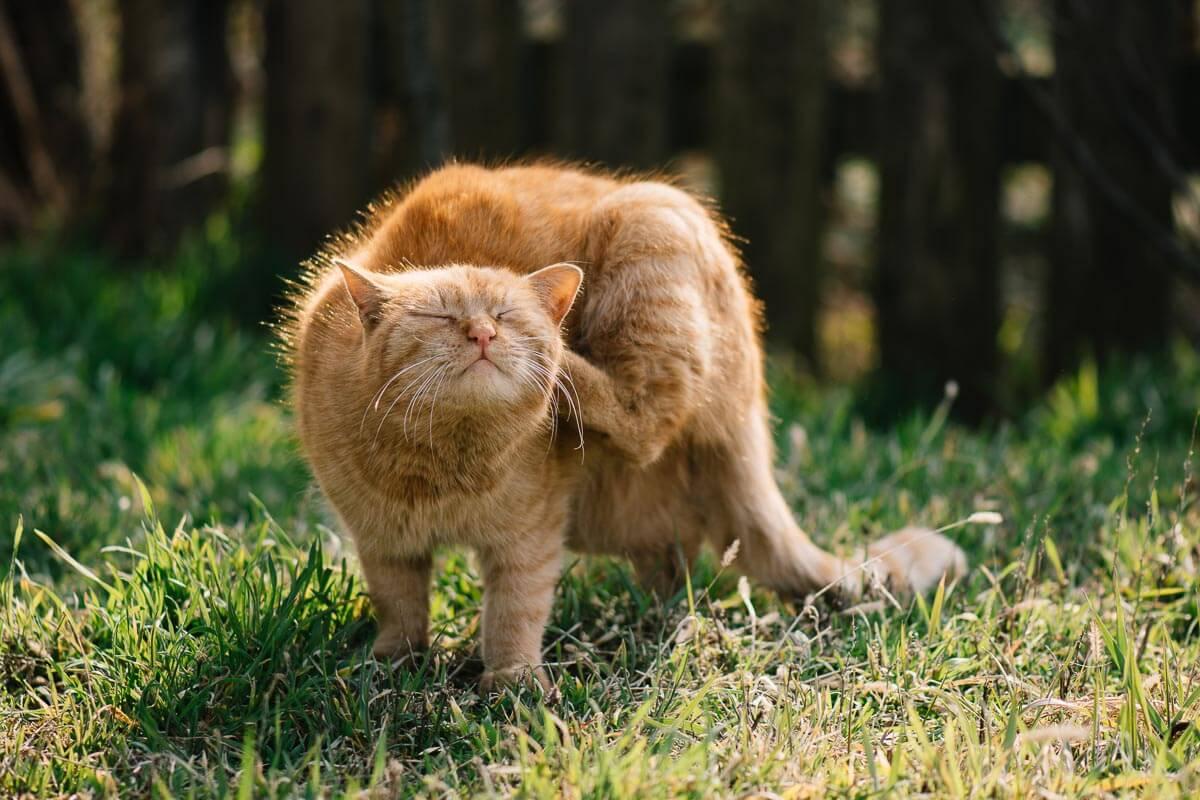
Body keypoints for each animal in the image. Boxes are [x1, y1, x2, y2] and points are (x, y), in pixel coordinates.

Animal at [283, 160, 964, 690]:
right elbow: (399, 609)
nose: (482, 334)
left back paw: (568, 367)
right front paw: (390, 665)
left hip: (652, 228)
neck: (445, 467)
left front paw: (511, 682)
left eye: (506, 315)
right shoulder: (383, 542)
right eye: (439, 316)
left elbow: (513, 614)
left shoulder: (530, 538)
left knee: (644, 420)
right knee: (673, 562)